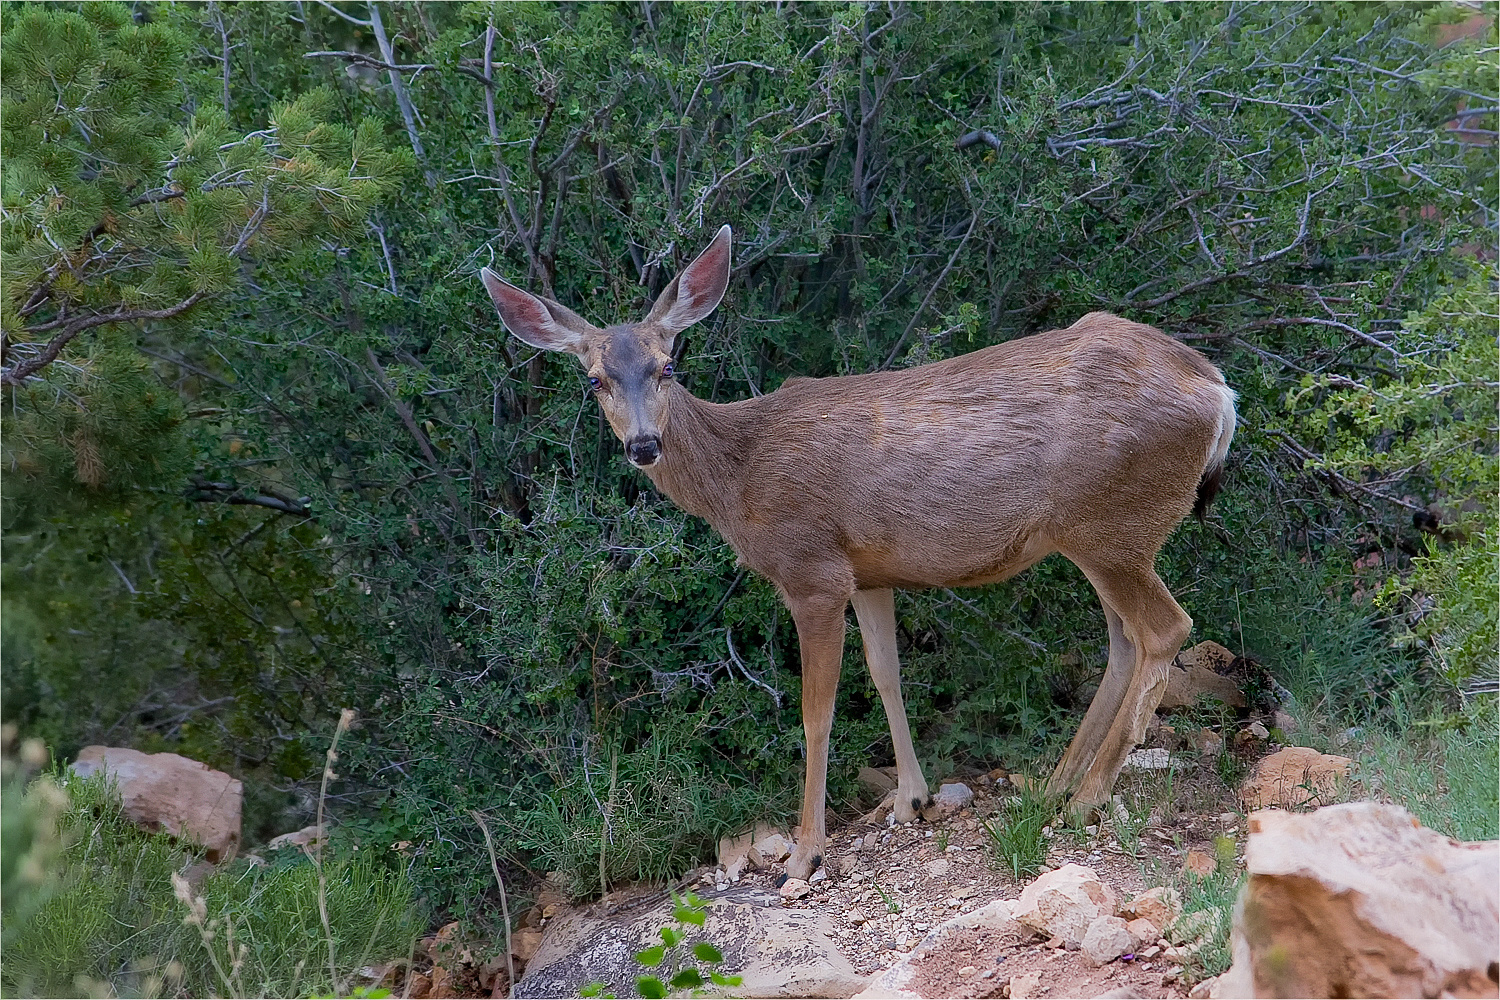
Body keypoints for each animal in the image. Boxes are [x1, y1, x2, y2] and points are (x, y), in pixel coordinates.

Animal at [480, 224, 1230, 875]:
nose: (643, 445)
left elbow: (817, 713)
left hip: (1109, 520)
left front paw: (807, 853)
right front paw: (910, 800)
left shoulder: (811, 570)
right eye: (594, 378)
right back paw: (1053, 785)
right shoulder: (869, 572)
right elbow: (886, 674)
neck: (740, 475)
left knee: (1167, 628)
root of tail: (1217, 391)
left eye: (669, 365)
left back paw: (1085, 796)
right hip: (1096, 532)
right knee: (1124, 638)